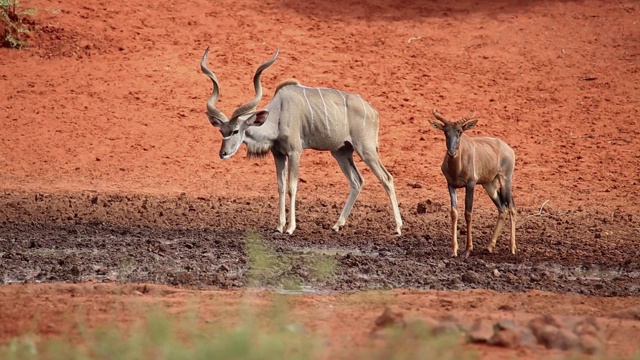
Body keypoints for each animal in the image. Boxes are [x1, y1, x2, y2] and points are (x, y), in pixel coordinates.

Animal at [430, 109, 516, 256]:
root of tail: (509, 149)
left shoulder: (470, 184)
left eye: (460, 131)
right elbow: (454, 213)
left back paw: (512, 248)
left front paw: (468, 250)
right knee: (502, 208)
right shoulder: (450, 185)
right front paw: (454, 250)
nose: (451, 152)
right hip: (489, 184)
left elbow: (468, 213)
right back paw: (489, 247)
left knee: (511, 208)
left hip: (505, 180)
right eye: (445, 131)